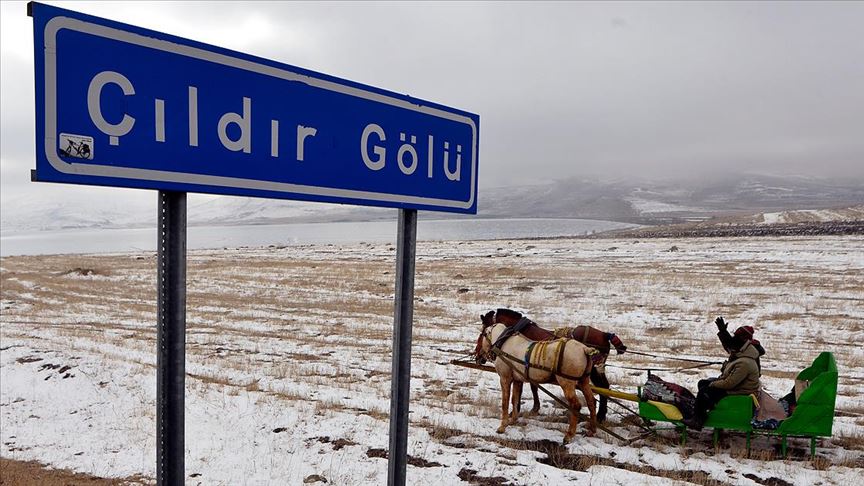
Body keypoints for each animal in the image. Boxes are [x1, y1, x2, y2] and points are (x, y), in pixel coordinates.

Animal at [486, 310, 620, 424]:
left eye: (485, 328)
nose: (484, 356)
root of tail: (605, 335)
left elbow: (530, 387)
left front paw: (527, 409)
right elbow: (533, 386)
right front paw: (533, 408)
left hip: (594, 370)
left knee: (603, 387)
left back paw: (600, 416)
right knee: (604, 387)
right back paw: (600, 416)